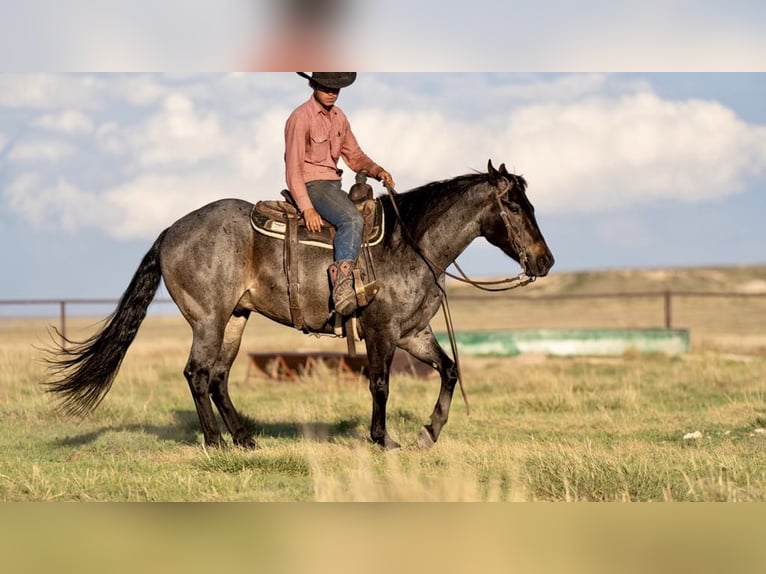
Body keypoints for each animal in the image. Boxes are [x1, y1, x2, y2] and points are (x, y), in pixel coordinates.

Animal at [45, 160, 556, 452]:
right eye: (513, 205)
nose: (545, 260)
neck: (410, 245)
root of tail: (170, 231)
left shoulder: (414, 333)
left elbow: (450, 370)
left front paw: (429, 432)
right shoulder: (383, 333)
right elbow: (381, 385)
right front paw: (383, 439)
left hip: (236, 319)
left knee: (218, 376)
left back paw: (244, 439)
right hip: (208, 319)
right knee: (197, 373)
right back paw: (215, 442)